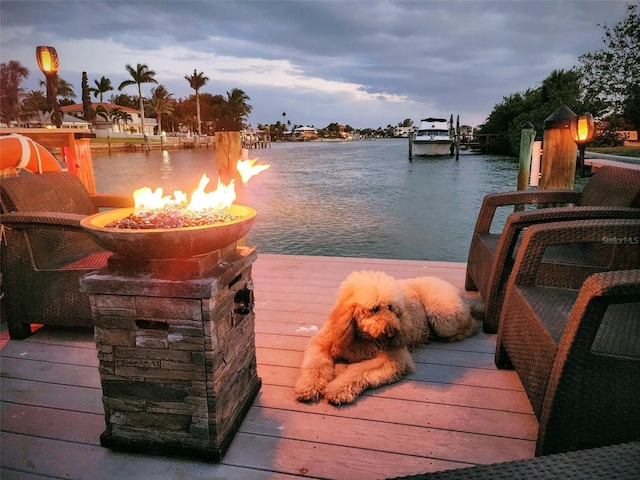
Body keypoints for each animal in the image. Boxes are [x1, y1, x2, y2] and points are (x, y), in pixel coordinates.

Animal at [292, 270, 478, 404]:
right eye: (375, 308)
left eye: (391, 307)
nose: (393, 331)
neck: (361, 337)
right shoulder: (321, 343)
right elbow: (315, 366)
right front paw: (308, 387)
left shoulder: (395, 358)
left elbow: (358, 370)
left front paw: (337, 390)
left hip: (442, 315)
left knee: (471, 324)